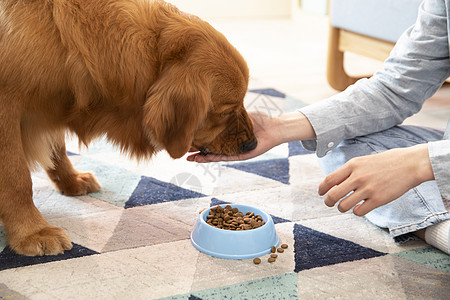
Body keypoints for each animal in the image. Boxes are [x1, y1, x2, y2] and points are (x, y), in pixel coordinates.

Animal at [0, 0, 256, 256]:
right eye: (226, 111)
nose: (252, 143)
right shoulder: (7, 110)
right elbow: (17, 178)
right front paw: (33, 231)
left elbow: (58, 151)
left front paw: (71, 180)